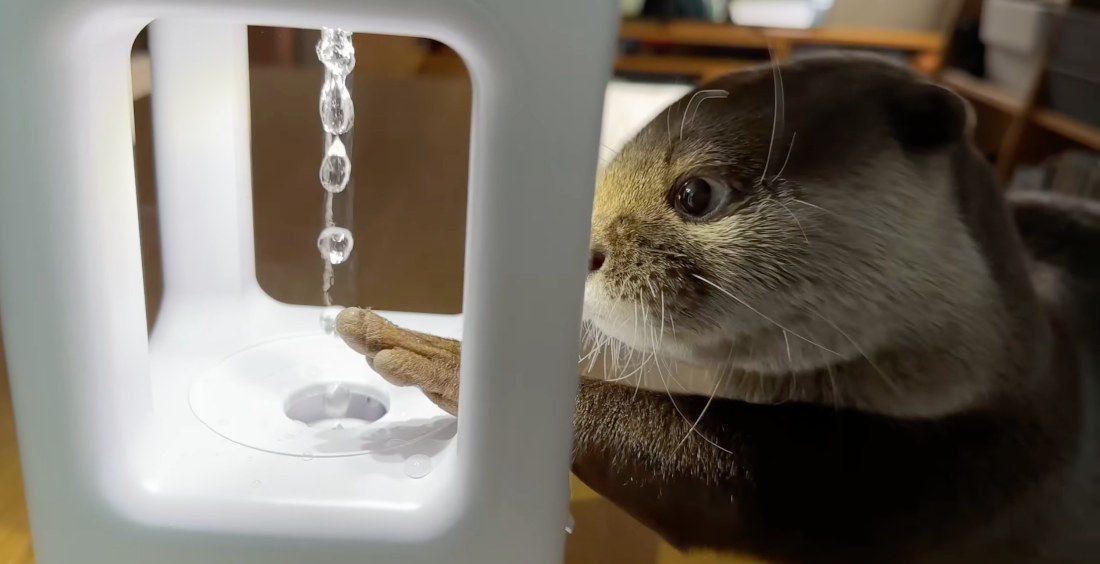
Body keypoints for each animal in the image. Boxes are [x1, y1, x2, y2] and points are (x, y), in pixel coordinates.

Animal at [334, 51, 1100, 558]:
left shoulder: (923, 475)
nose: (579, 250)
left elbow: (694, 468)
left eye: (695, 195)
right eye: (604, 175)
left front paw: (449, 360)